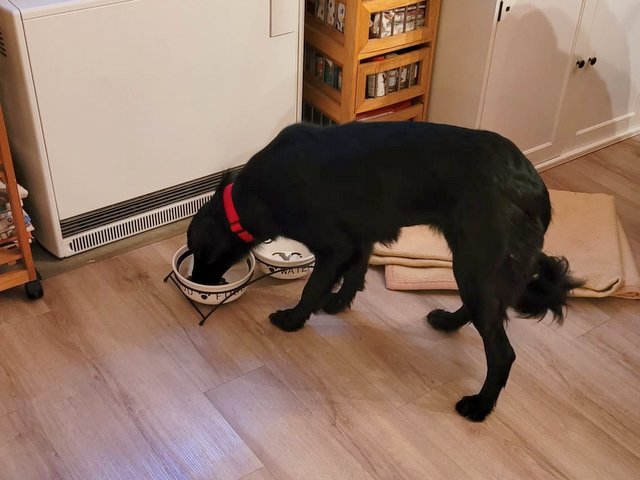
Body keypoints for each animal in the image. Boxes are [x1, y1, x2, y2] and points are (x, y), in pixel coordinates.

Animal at [187, 121, 582, 421]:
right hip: (472, 263)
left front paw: (293, 319)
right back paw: (447, 322)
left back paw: (480, 406)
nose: (197, 281)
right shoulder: (360, 236)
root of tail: (536, 188)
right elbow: (355, 274)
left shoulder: (334, 246)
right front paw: (338, 303)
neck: (252, 195)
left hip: (475, 261)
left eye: (197, 252)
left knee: (501, 352)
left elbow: (312, 288)